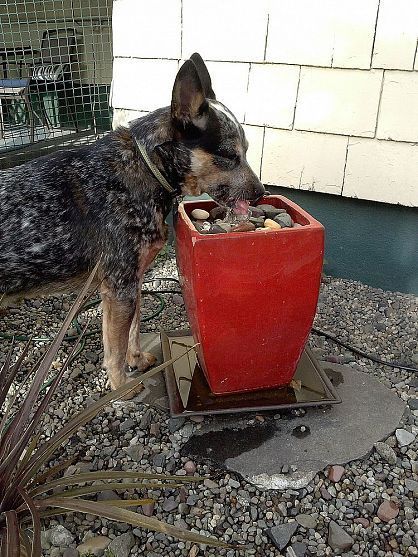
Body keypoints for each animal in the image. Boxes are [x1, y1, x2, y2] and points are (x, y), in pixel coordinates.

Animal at [0, 52, 264, 390]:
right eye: (229, 156)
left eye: (247, 151)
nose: (261, 193)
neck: (146, 169)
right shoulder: (118, 287)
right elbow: (115, 347)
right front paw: (121, 387)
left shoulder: (132, 282)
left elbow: (134, 330)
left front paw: (135, 360)